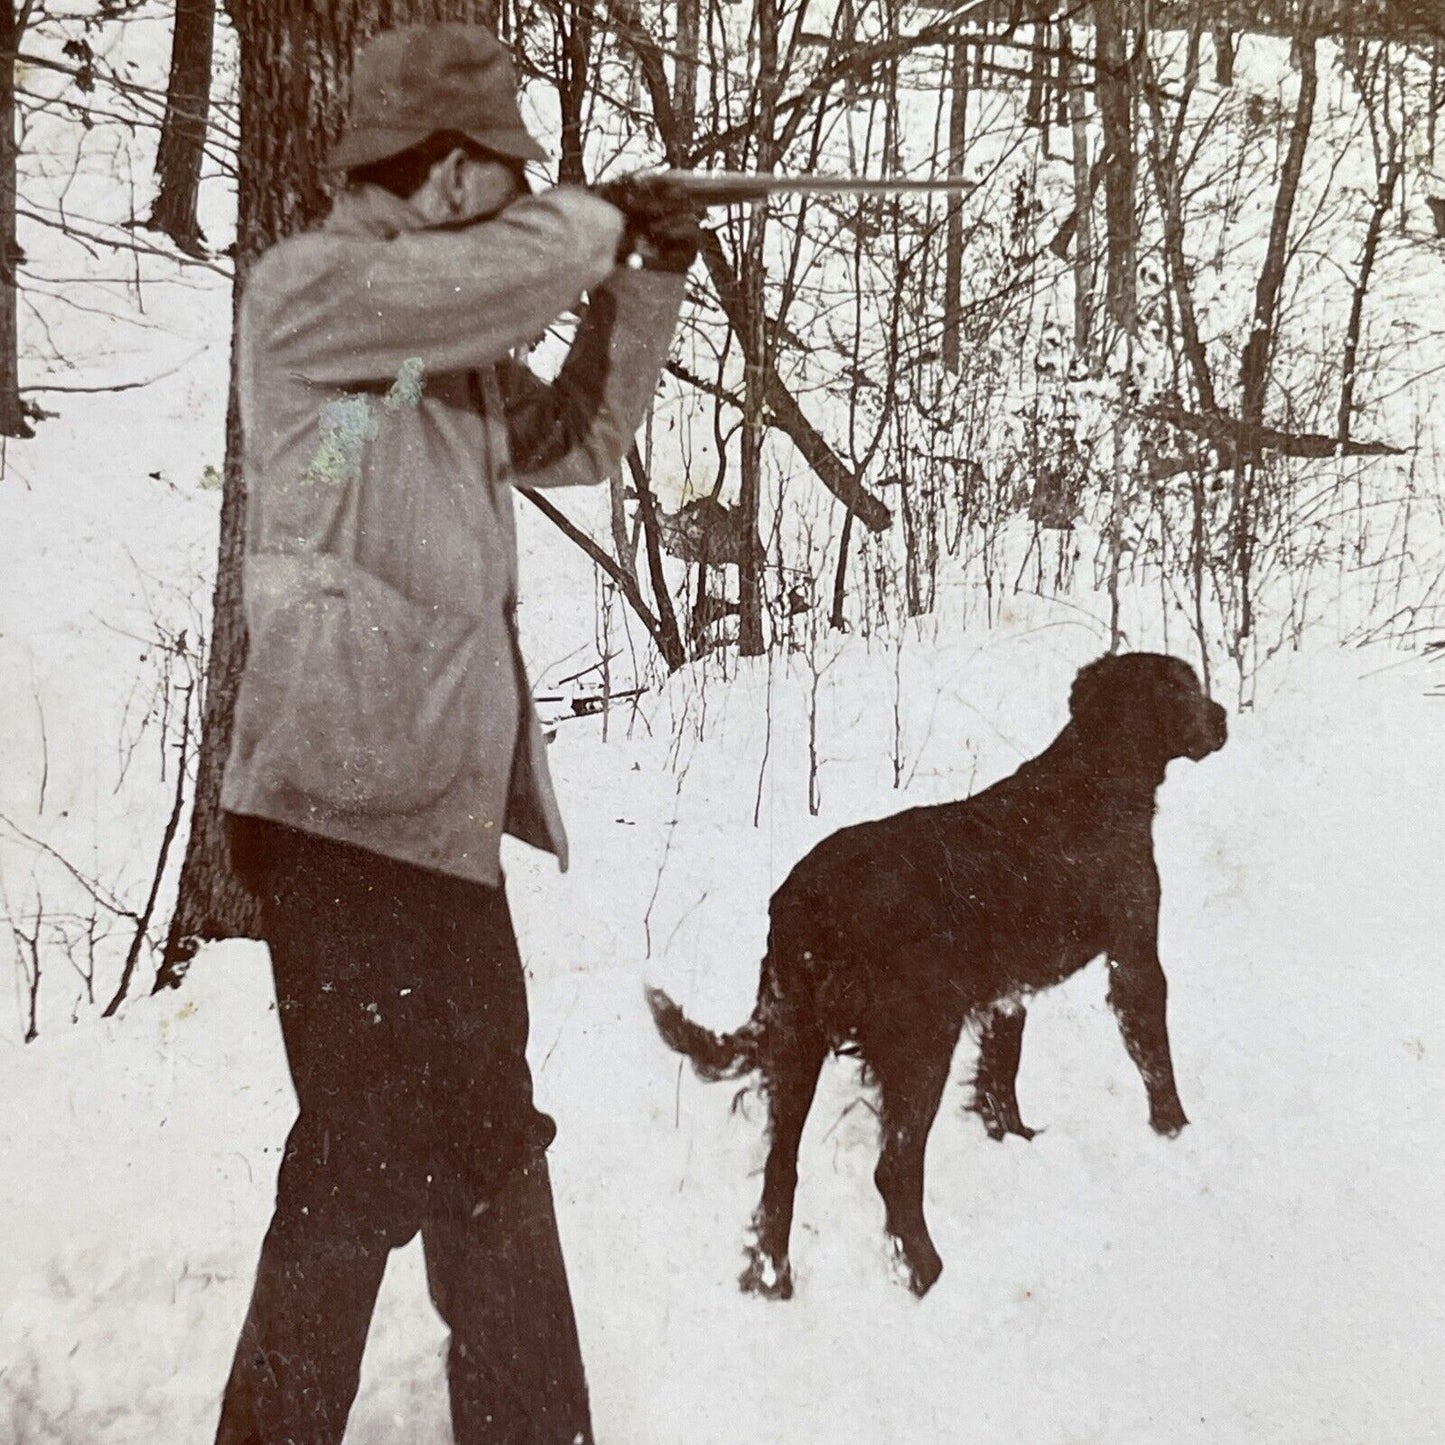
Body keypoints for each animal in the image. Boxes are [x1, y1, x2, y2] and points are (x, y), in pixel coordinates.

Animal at [656, 653, 1231, 1300]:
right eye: (1187, 686)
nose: (1222, 719)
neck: (1098, 777)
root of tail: (803, 903)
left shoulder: (1005, 996)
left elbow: (1000, 1074)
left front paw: (1013, 1138)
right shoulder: (1133, 956)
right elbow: (1155, 1059)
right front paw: (1176, 1132)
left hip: (799, 1044)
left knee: (781, 1169)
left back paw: (772, 1279)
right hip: (921, 1043)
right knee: (893, 1170)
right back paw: (927, 1274)